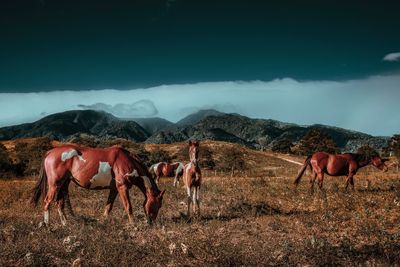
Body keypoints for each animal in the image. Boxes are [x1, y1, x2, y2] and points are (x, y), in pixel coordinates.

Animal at [30, 144, 166, 226]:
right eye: (158, 205)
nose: (152, 223)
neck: (128, 161)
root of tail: (50, 152)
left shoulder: (114, 189)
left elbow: (108, 207)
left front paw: (104, 221)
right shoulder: (122, 187)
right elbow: (128, 206)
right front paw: (133, 224)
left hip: (63, 184)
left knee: (59, 203)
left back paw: (65, 223)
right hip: (55, 184)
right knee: (47, 201)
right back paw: (47, 225)